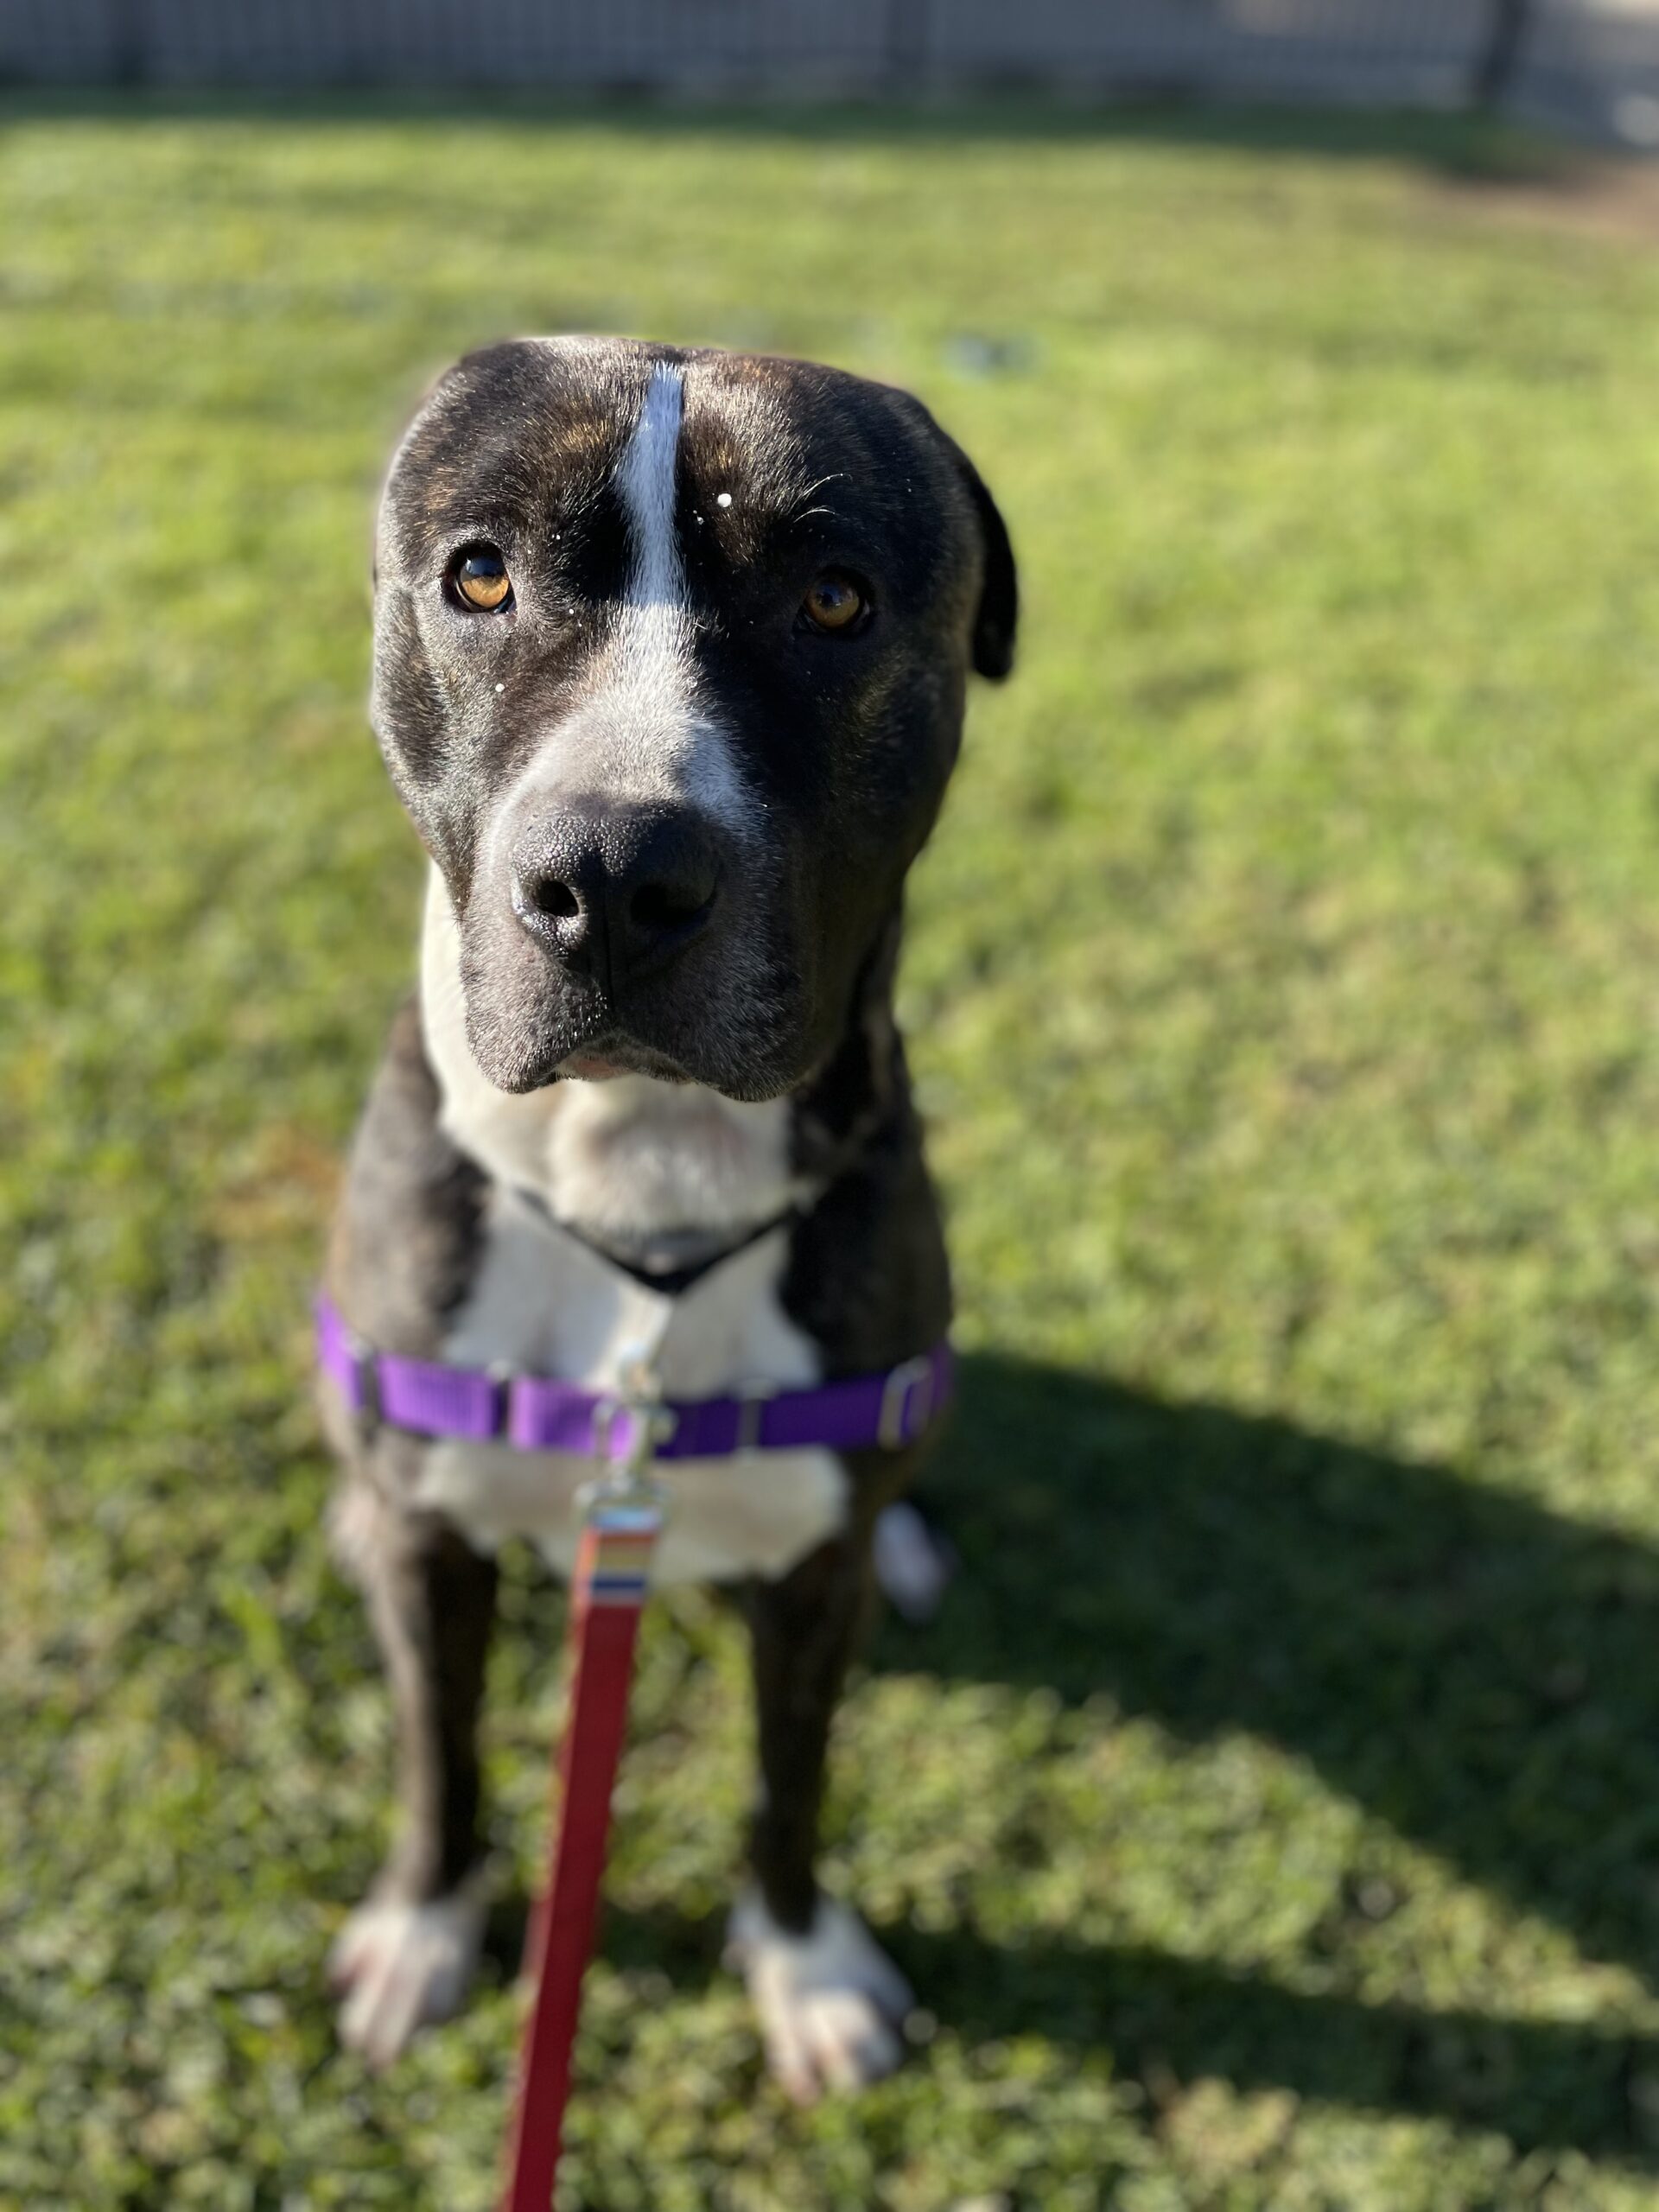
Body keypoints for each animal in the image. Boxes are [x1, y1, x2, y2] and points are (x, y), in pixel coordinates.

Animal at [318, 337, 1016, 2100]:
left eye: (834, 599)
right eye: (477, 575)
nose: (614, 879)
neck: (637, 1183)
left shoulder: (812, 1594)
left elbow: (792, 1779)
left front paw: (804, 1964)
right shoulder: (430, 1551)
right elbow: (440, 1754)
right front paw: (425, 1926)